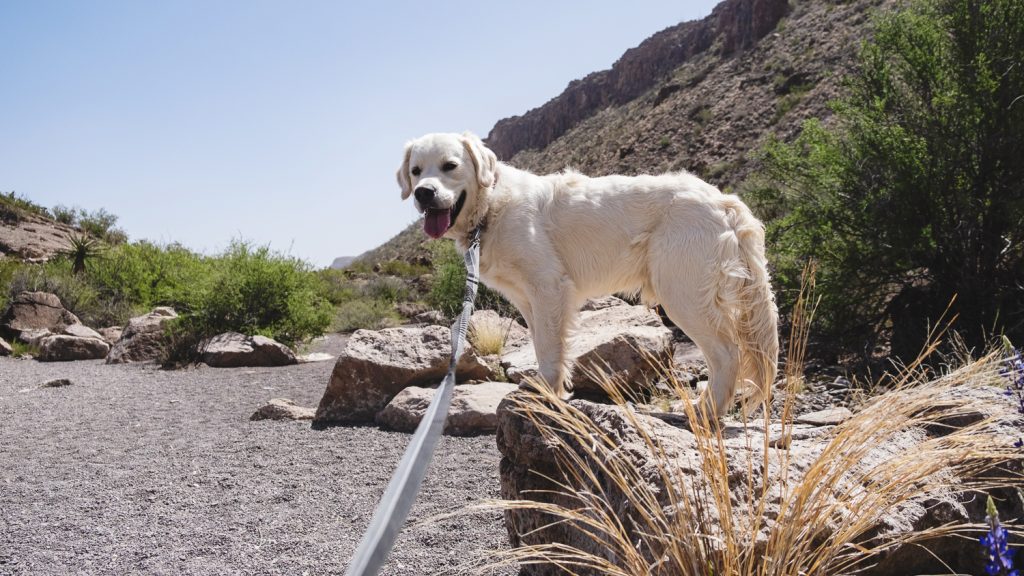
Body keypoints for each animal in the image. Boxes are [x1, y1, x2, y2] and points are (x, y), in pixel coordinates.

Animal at [397, 132, 774, 414]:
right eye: (416, 170)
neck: (491, 207)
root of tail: (724, 200)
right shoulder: (528, 298)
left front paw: (547, 393)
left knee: (727, 353)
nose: (424, 193)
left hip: (681, 292)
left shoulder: (549, 285)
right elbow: (542, 344)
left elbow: (550, 348)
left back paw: (707, 411)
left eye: (450, 166)